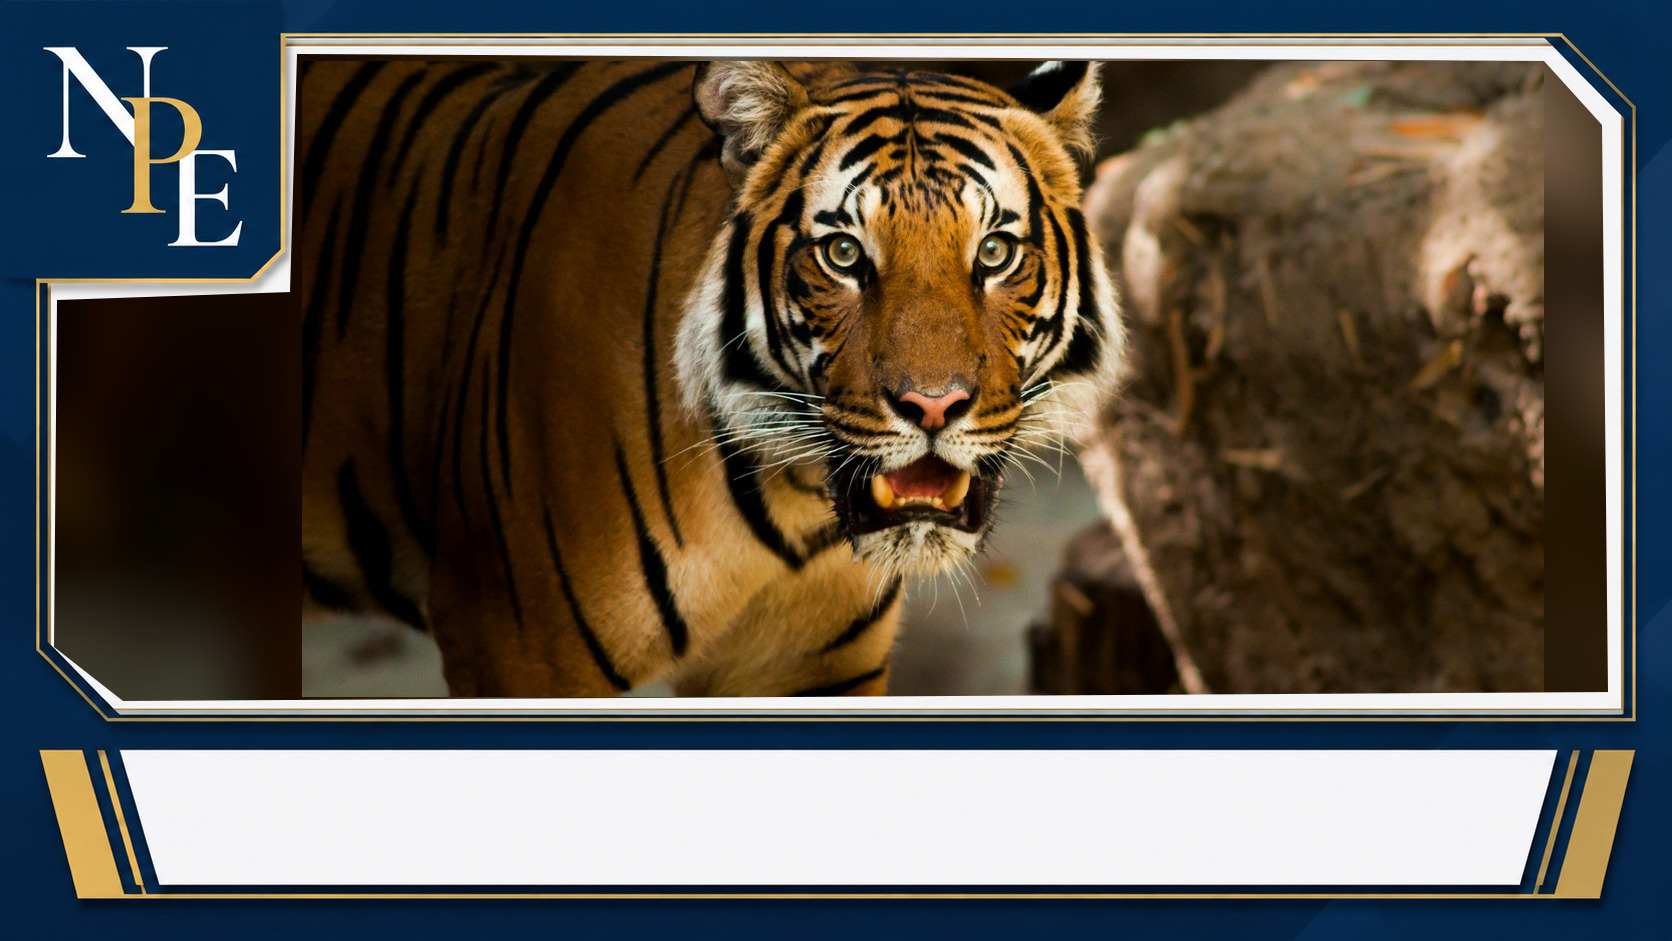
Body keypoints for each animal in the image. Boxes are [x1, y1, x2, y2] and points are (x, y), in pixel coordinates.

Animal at [298, 58, 1124, 698]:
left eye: (994, 253)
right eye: (844, 254)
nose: (933, 405)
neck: (793, 504)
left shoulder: (811, 667)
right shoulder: (518, 645)